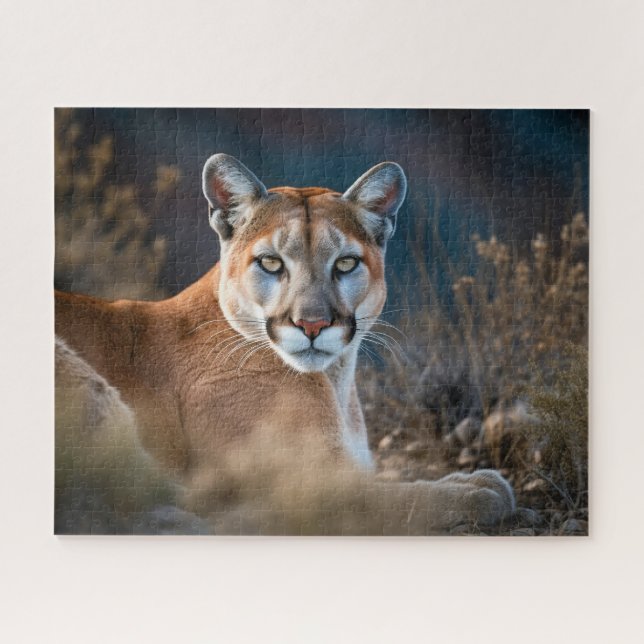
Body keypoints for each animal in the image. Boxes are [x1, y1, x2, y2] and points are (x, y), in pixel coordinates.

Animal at [55, 153, 515, 535]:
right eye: (271, 263)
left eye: (345, 263)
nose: (312, 324)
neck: (335, 381)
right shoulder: (298, 483)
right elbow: (384, 498)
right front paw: (476, 489)